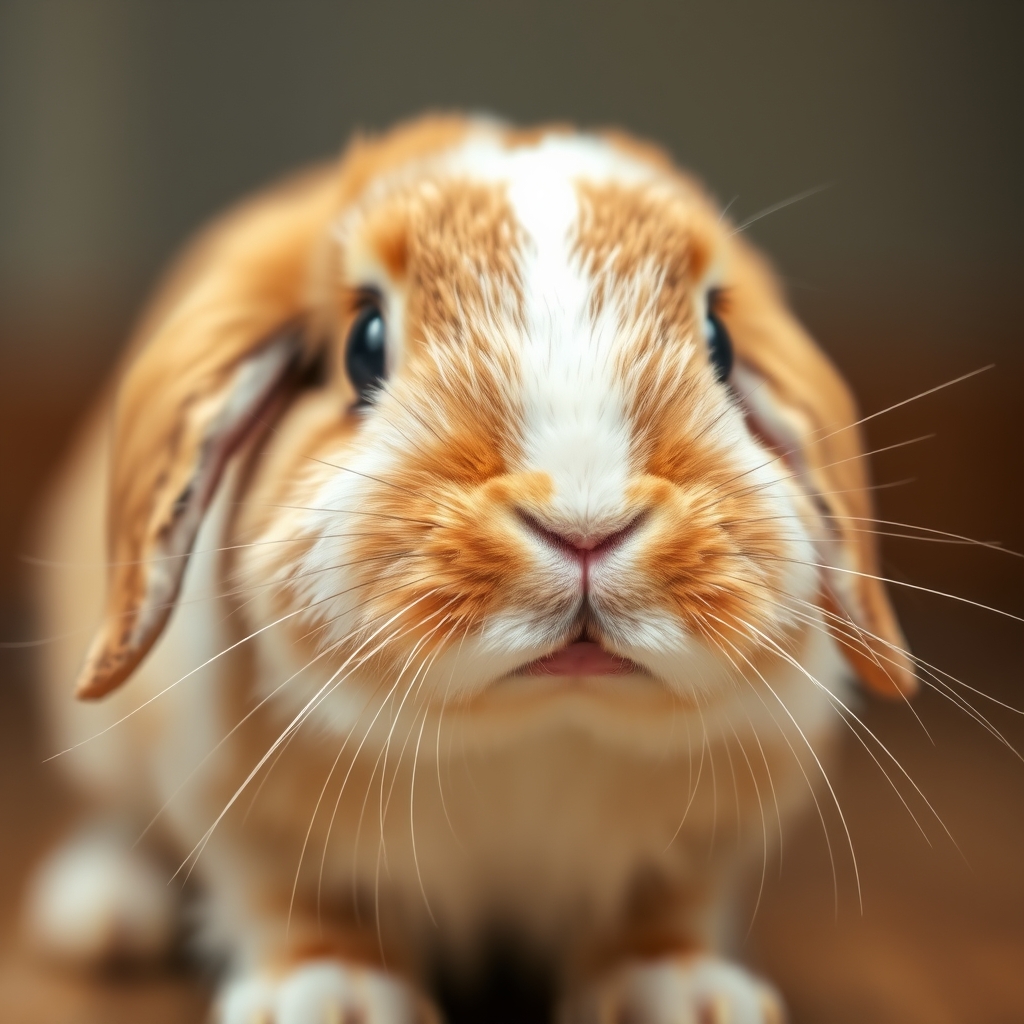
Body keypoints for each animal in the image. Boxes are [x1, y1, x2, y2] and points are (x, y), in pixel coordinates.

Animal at [25, 114, 916, 1024]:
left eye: (720, 343)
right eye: (364, 345)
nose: (586, 521)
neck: (532, 732)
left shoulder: (705, 837)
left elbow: (661, 907)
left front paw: (684, 995)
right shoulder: (247, 817)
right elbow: (301, 903)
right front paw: (333, 999)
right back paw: (101, 913)